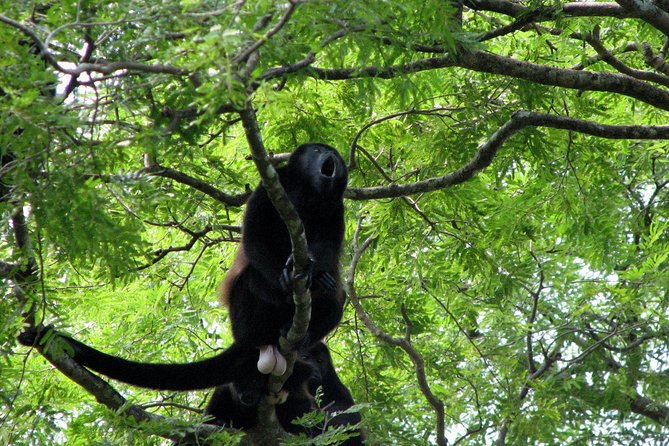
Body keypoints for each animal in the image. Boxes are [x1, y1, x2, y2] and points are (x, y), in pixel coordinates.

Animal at [18, 143, 348, 404]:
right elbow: (254, 238)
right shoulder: (269, 186)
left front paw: (318, 274)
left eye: (334, 153)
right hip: (245, 324)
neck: (305, 193)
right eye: (317, 150)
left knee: (337, 297)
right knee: (251, 280)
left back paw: (303, 329)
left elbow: (329, 247)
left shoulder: (336, 205)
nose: (330, 154)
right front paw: (284, 281)